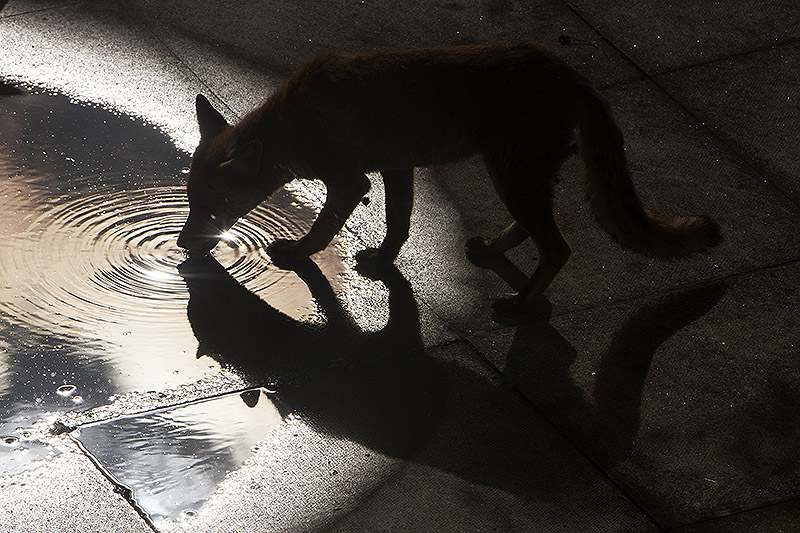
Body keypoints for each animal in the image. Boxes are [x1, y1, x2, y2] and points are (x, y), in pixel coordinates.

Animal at [178, 41, 720, 320]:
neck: (292, 123)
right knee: (537, 231)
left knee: (559, 247)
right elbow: (398, 225)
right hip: (522, 176)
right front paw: (384, 262)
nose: (181, 244)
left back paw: (521, 304)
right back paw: (495, 250)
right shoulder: (396, 167)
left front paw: (296, 253)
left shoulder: (351, 181)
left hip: (510, 174)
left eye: (213, 208)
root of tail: (569, 74)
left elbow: (323, 230)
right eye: (189, 201)